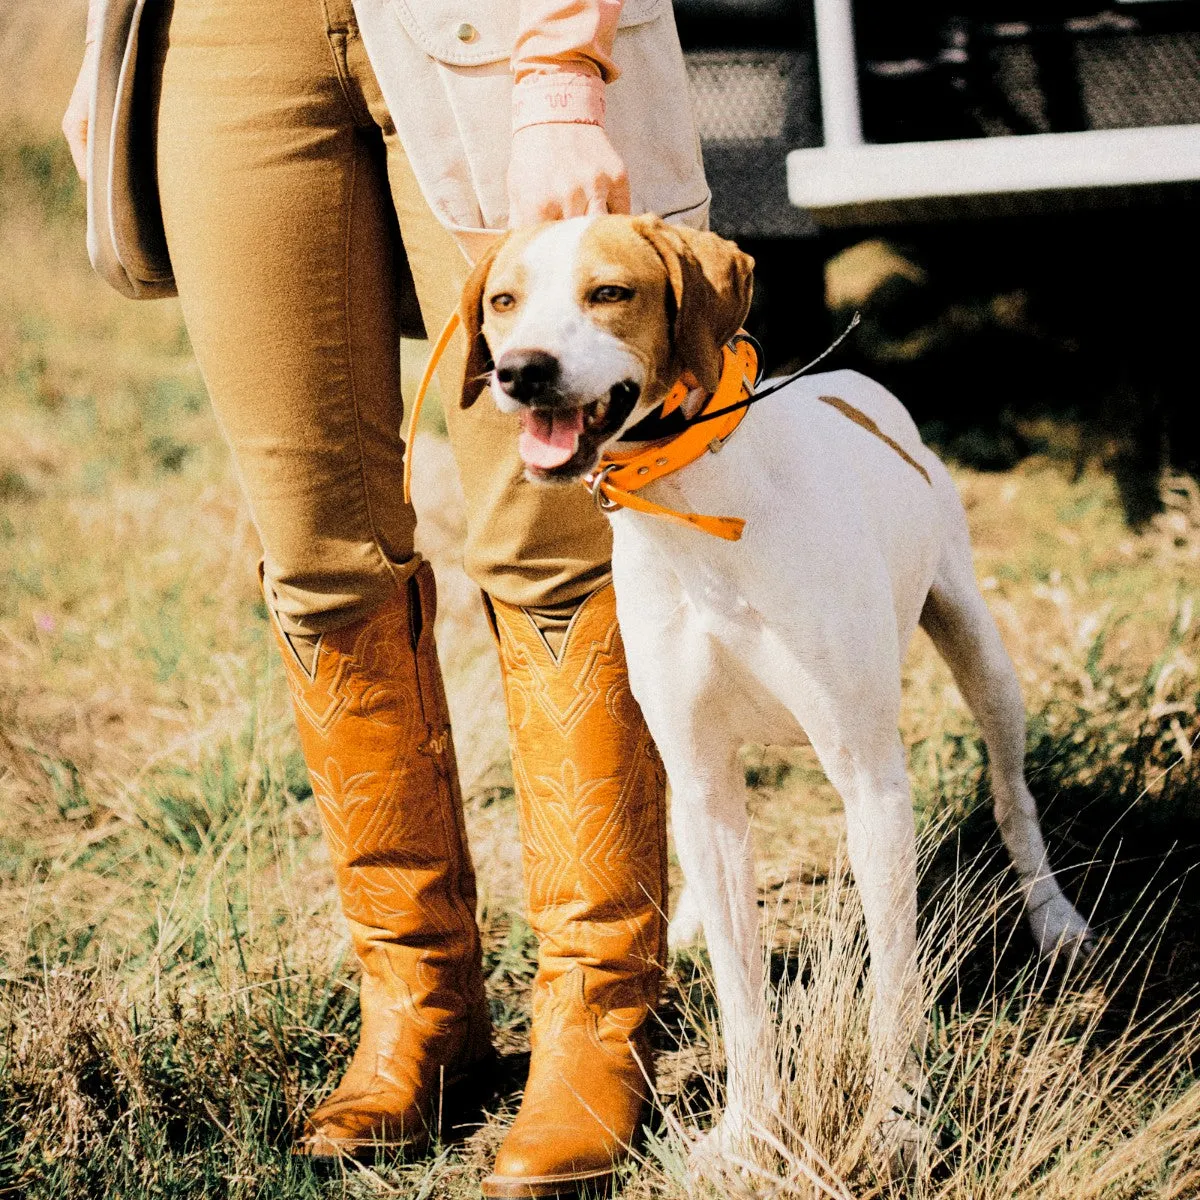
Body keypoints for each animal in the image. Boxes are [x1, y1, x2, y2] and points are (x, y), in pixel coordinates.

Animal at [458, 213, 1099, 1152]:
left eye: (609, 292)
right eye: (503, 302)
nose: (521, 370)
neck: (695, 504)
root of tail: (845, 379)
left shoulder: (870, 778)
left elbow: (894, 984)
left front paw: (899, 1119)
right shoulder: (702, 773)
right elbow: (741, 991)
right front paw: (748, 1130)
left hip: (983, 657)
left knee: (1013, 795)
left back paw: (1054, 918)